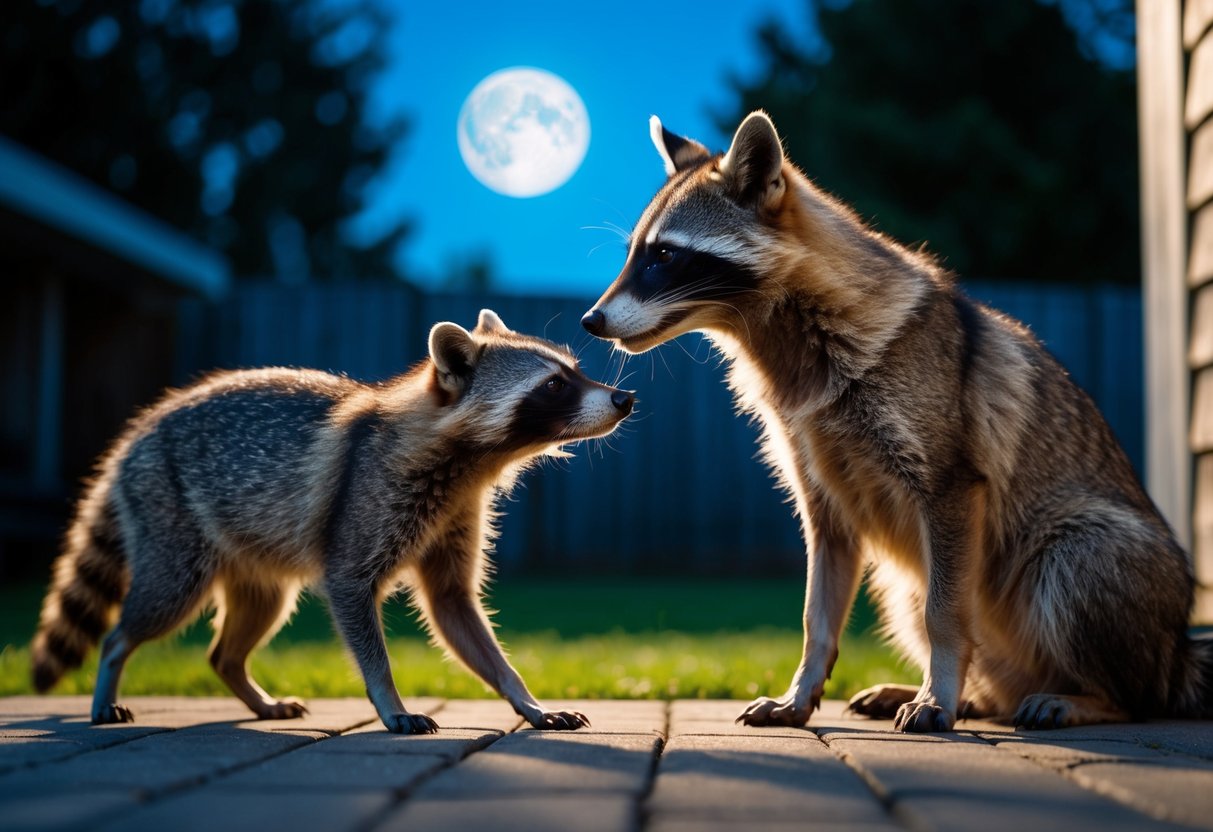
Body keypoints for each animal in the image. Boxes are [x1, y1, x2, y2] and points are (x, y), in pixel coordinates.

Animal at [32, 309, 634, 734]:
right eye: (554, 385)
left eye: (576, 372)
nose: (624, 398)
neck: (472, 458)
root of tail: (136, 436)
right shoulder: (367, 500)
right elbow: (351, 591)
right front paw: (388, 698)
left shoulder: (457, 513)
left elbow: (454, 608)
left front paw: (522, 695)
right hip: (169, 513)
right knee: (157, 602)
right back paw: (111, 668)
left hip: (252, 551)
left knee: (247, 625)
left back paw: (241, 679)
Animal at [582, 111, 1210, 731]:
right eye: (635, 253)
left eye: (665, 256)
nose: (590, 320)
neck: (794, 342)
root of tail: (1178, 649)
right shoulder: (820, 491)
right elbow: (817, 613)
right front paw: (802, 689)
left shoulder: (951, 484)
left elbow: (945, 613)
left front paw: (939, 692)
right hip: (906, 583)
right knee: (948, 634)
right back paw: (975, 698)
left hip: (1081, 554)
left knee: (1133, 687)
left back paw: (1086, 698)